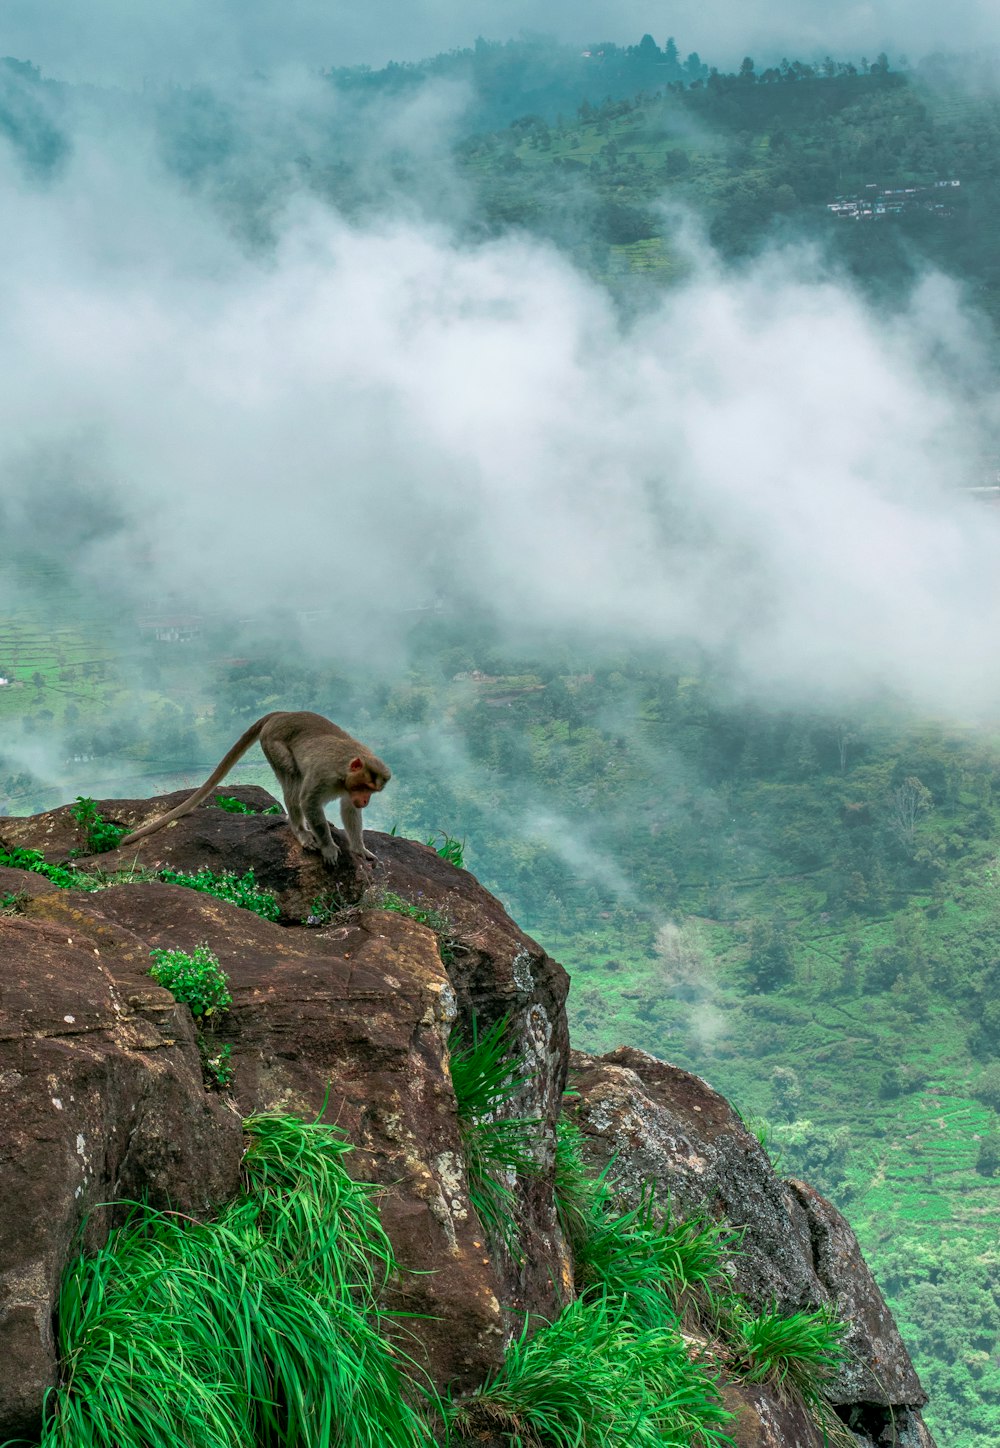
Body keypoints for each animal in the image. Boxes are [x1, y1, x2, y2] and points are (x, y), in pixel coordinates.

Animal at [120, 709, 390, 863]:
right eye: (365, 786)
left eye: (370, 791)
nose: (365, 800)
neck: (344, 770)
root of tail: (281, 714)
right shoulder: (325, 775)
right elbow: (309, 802)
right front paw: (328, 847)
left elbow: (349, 809)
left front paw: (359, 848)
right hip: (273, 743)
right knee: (293, 780)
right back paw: (300, 831)